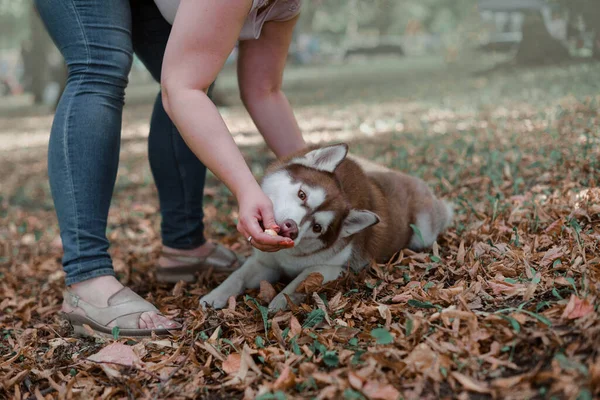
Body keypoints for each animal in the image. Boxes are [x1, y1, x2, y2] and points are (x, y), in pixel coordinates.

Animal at [199, 144, 452, 312]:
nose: (291, 229)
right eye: (302, 194)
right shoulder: (264, 262)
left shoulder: (332, 268)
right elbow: (237, 276)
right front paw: (215, 295)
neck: (286, 256)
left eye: (317, 227)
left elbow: (298, 282)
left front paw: (279, 302)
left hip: (423, 233)